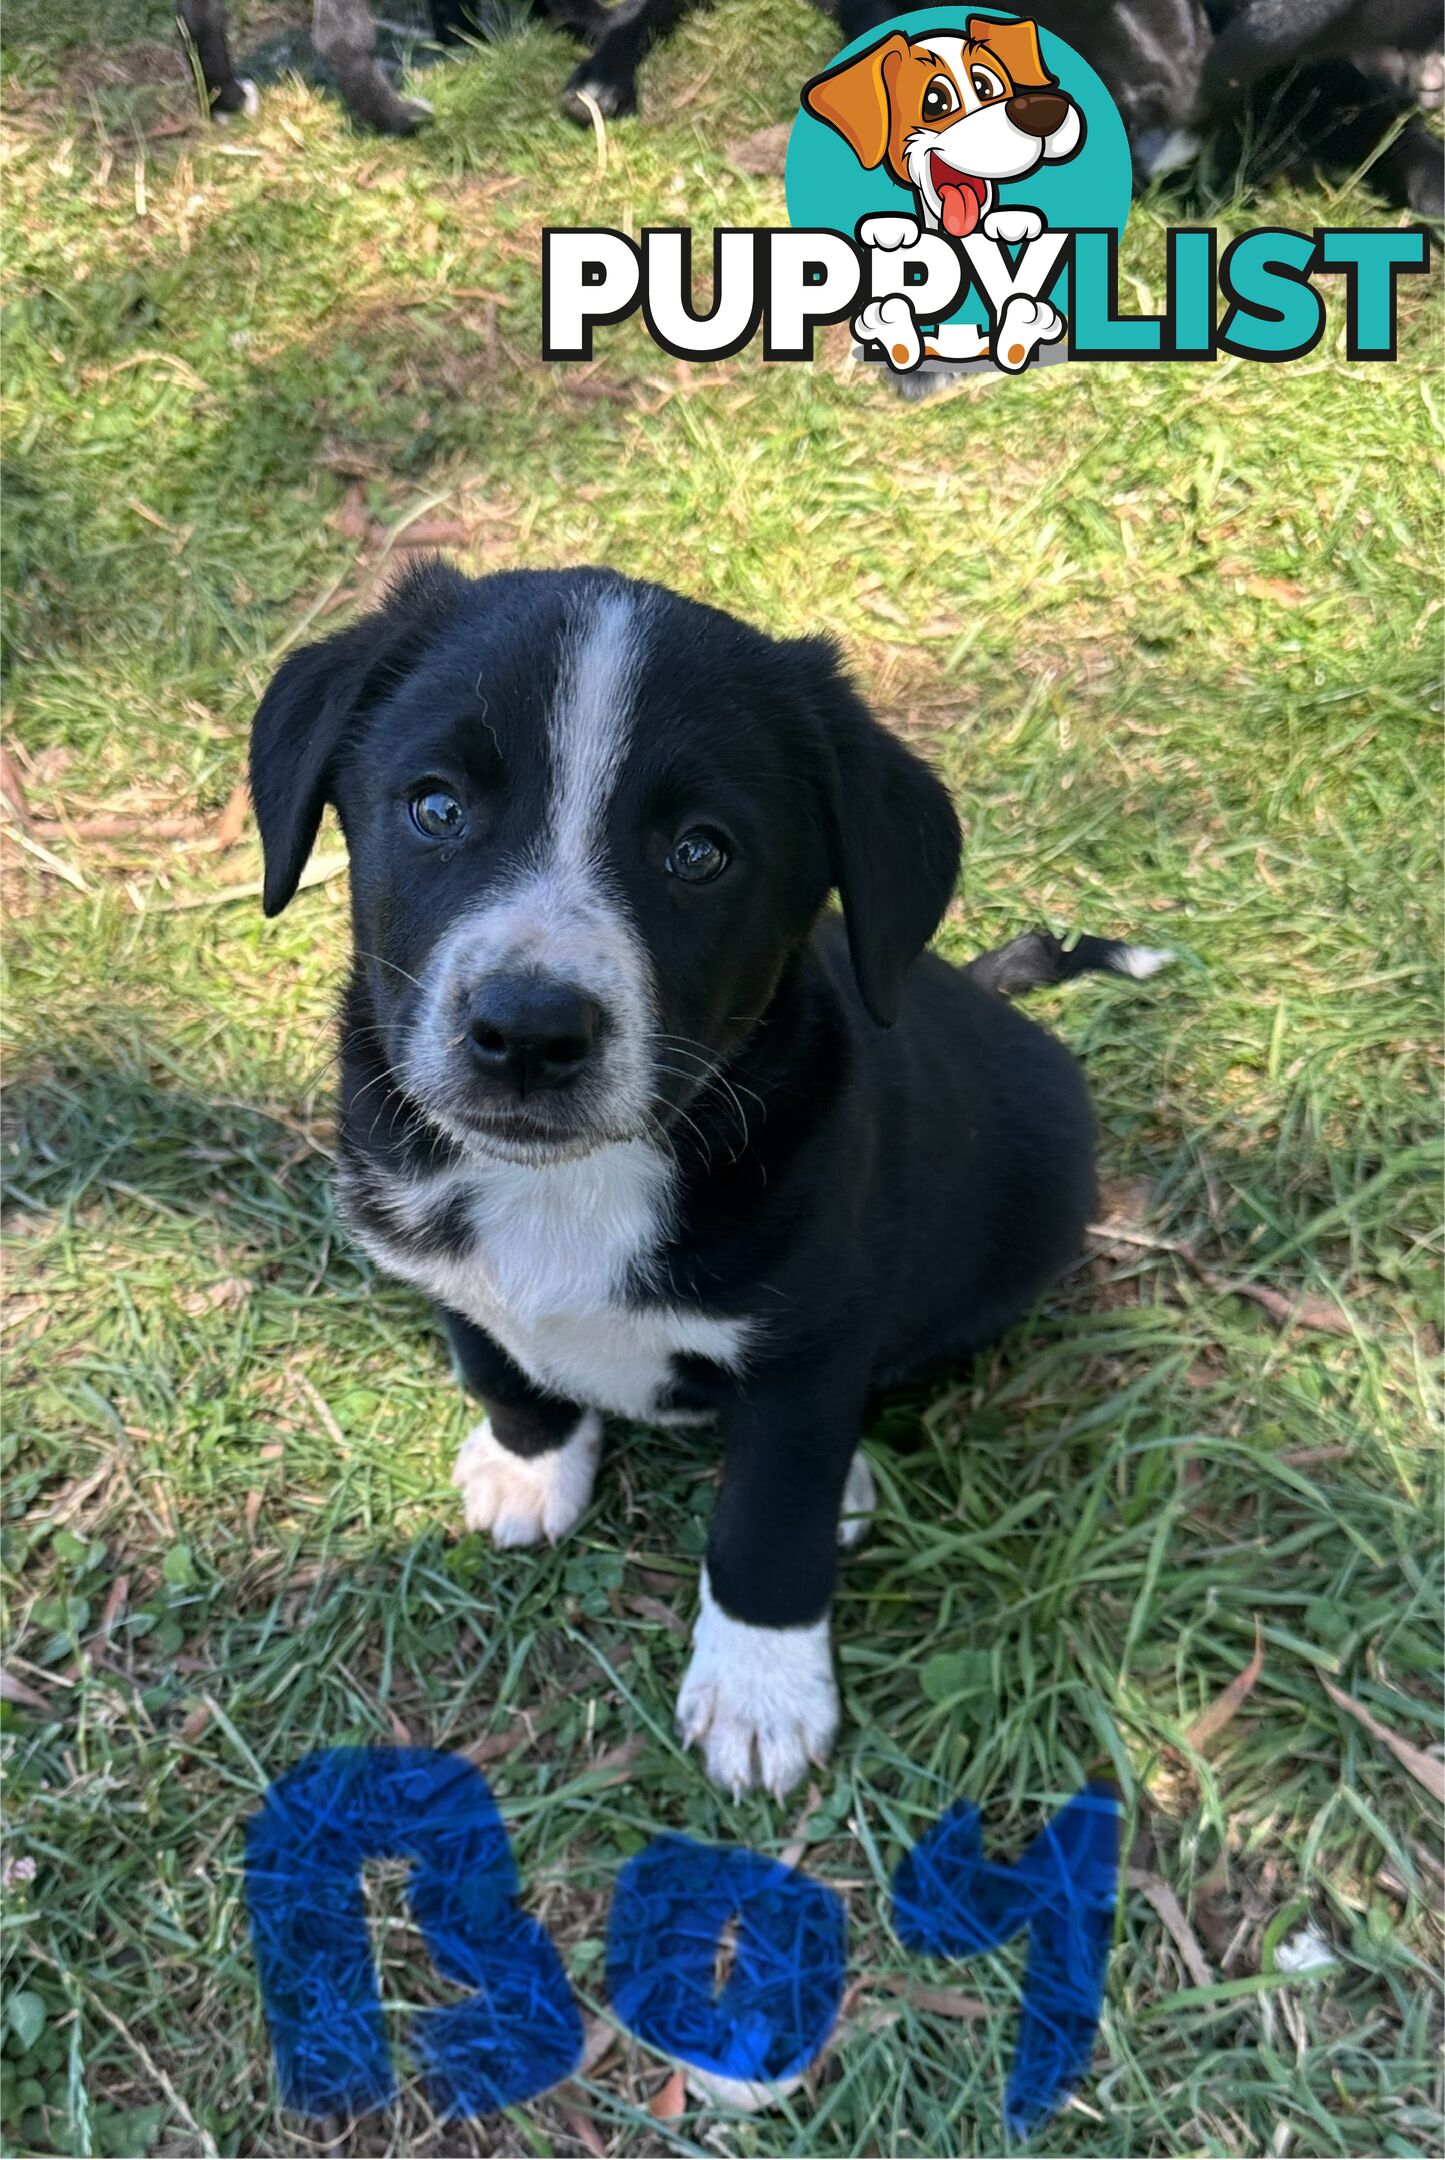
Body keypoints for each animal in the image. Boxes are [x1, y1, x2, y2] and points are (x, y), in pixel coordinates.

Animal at [248, 565, 1166, 1797]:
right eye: (434, 808)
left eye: (700, 853)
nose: (527, 1032)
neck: (575, 1183)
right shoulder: (443, 1266)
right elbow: (498, 1362)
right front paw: (530, 1465)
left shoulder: (807, 1344)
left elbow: (768, 1522)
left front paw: (761, 1691)